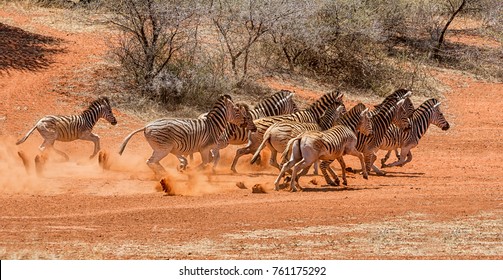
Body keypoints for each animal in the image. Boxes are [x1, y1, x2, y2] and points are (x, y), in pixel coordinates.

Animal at [120, 95, 250, 176]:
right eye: (237, 110)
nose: (246, 121)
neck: (214, 125)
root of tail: (147, 126)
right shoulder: (204, 148)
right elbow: (205, 162)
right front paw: (191, 170)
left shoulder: (208, 148)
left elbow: (209, 160)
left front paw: (186, 168)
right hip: (163, 149)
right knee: (150, 162)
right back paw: (163, 174)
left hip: (160, 148)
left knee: (153, 162)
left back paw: (165, 173)